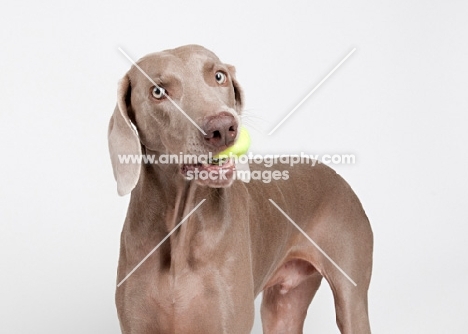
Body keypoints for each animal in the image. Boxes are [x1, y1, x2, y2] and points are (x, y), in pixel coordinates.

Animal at [109, 45, 372, 334]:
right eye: (158, 91)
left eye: (219, 76)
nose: (223, 128)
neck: (182, 225)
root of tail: (336, 175)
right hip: (284, 306)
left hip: (351, 298)